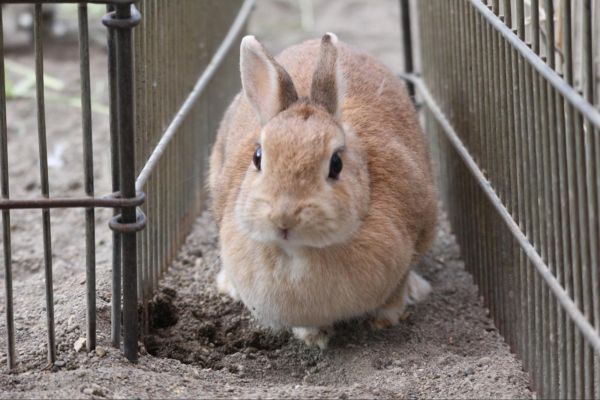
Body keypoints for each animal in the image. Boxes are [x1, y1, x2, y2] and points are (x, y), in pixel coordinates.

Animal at [210, 32, 436, 348]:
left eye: (336, 164)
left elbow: (397, 289)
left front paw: (383, 320)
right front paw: (314, 338)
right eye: (257, 157)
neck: (298, 252)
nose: (284, 218)